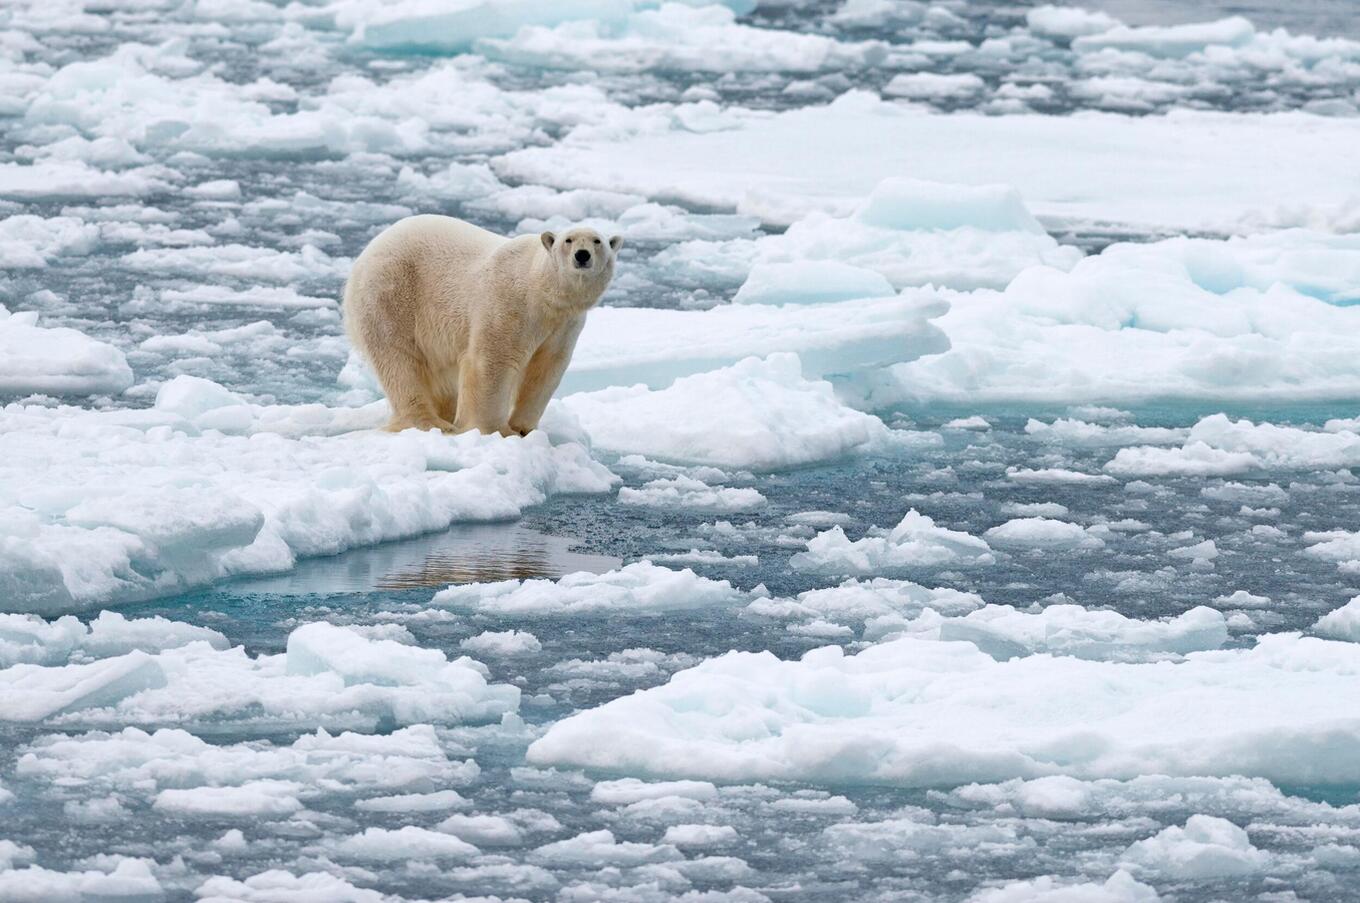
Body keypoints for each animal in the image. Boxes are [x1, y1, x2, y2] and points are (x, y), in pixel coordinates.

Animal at [342, 214, 620, 435]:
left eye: (597, 241)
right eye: (568, 240)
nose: (582, 255)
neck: (541, 292)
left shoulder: (563, 325)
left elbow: (546, 368)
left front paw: (522, 428)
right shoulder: (510, 303)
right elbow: (493, 361)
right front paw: (493, 430)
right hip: (391, 294)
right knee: (399, 360)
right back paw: (432, 423)